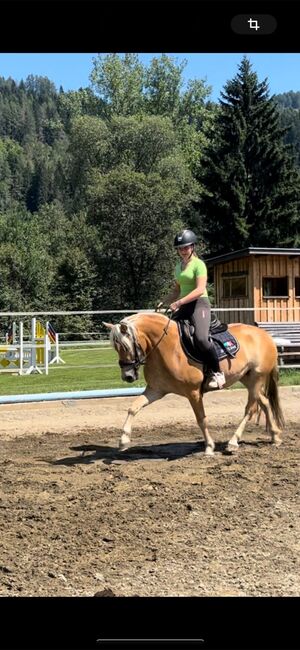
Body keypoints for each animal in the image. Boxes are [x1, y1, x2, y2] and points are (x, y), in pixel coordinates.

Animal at [103, 310, 284, 454]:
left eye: (125, 347)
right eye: (116, 348)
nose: (127, 376)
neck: (168, 347)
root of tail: (264, 335)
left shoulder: (193, 393)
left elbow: (201, 419)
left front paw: (209, 447)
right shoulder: (156, 390)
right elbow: (133, 407)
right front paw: (123, 441)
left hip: (257, 378)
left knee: (250, 409)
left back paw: (233, 442)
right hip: (247, 378)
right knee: (265, 402)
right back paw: (275, 437)